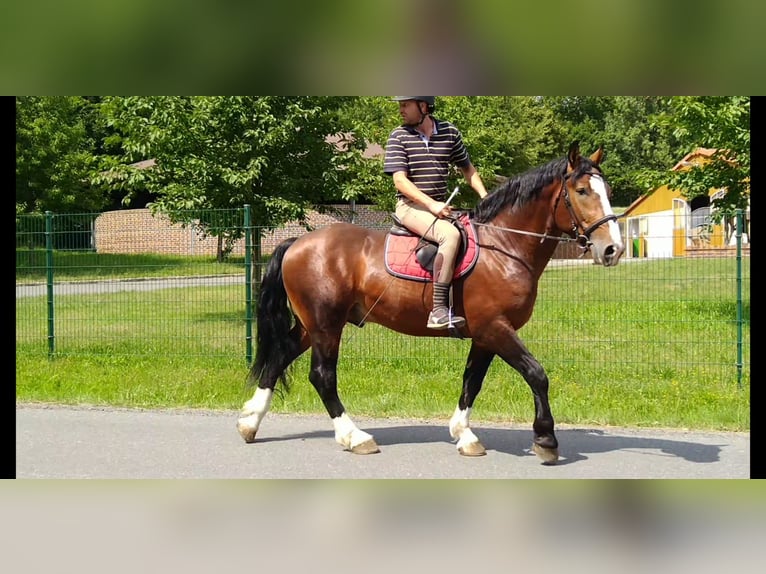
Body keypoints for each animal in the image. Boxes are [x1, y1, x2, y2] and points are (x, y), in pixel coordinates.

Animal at [238, 142, 624, 466]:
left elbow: (472, 382)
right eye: (582, 191)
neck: (504, 246)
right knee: (322, 376)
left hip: (313, 325)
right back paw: (354, 436)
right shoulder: (496, 328)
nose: (613, 249)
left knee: (280, 355)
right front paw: (545, 440)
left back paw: (250, 422)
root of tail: (297, 242)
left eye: (608, 192)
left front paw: (464, 435)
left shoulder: (485, 335)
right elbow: (537, 374)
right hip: (325, 326)